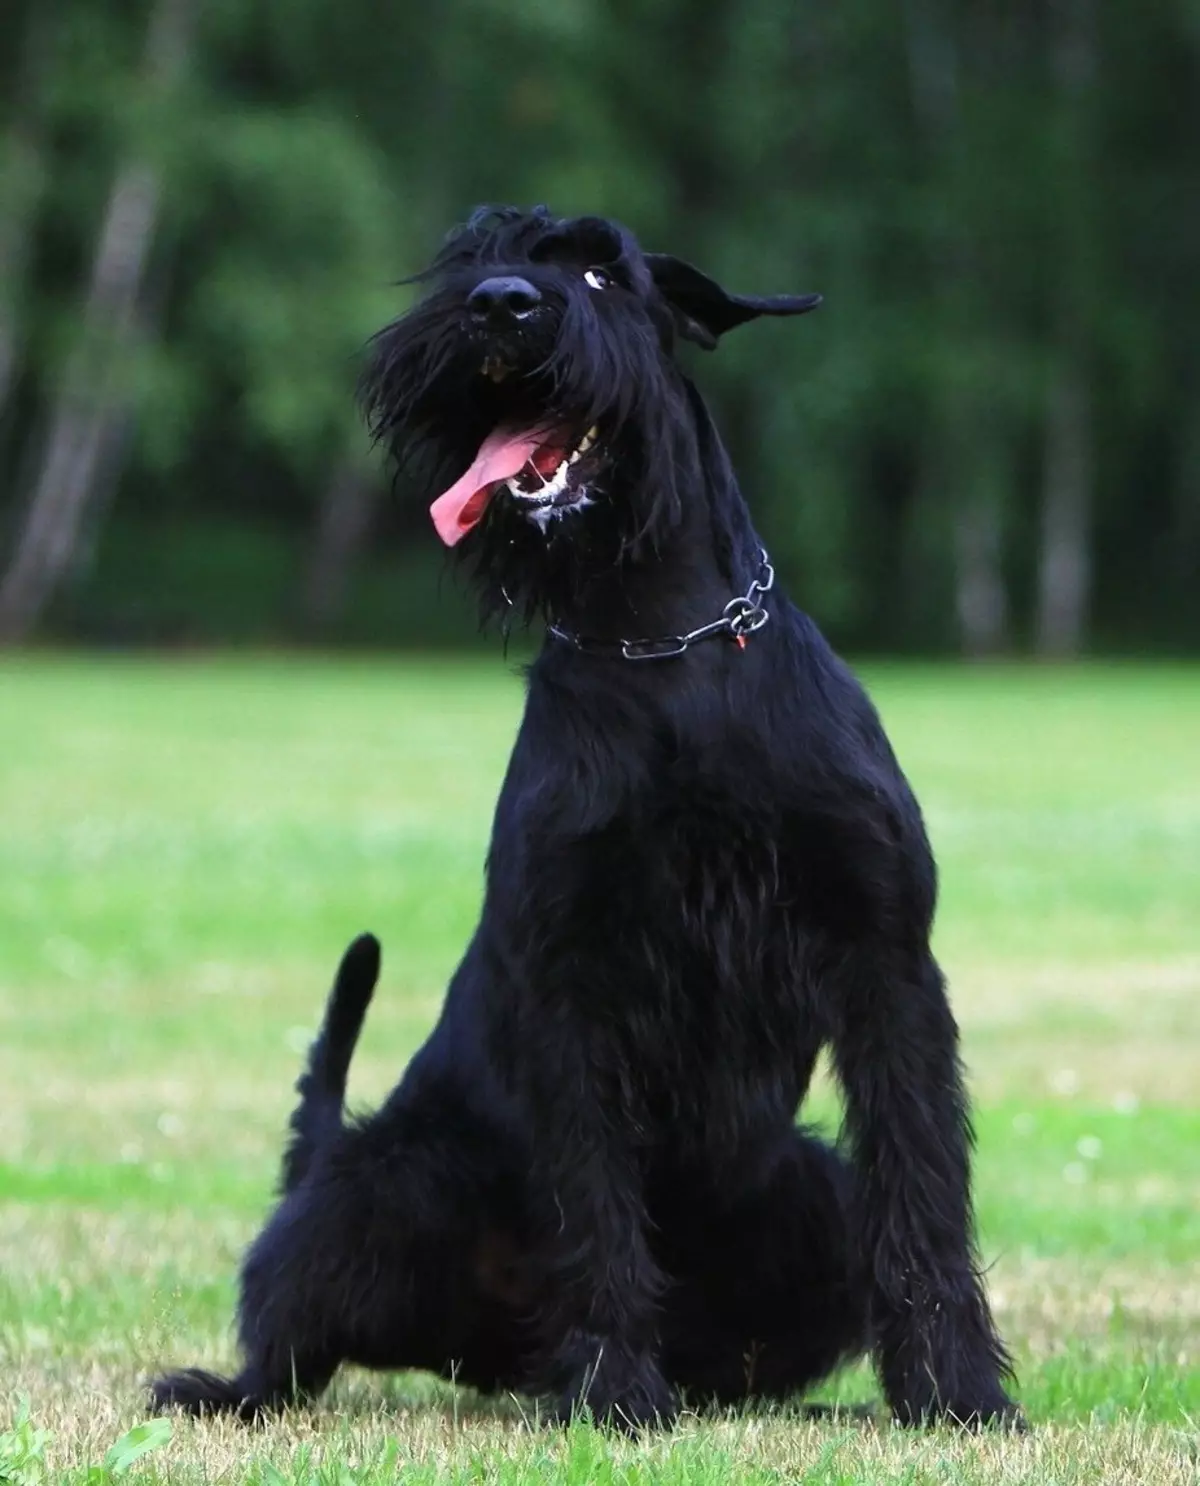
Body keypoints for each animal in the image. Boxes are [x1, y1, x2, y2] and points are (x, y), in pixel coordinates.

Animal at [147, 206, 1021, 1426]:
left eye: (605, 270)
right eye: (471, 259)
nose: (501, 305)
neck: (663, 645)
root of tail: (493, 1361)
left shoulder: (883, 958)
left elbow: (921, 1178)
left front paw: (957, 1387)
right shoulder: (576, 978)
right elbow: (595, 1197)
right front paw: (613, 1389)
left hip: (810, 1196)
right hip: (374, 1186)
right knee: (291, 1329)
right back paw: (236, 1386)